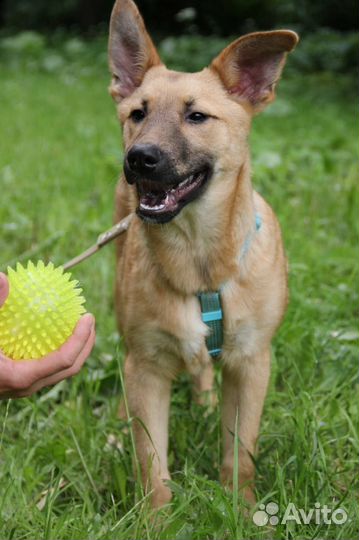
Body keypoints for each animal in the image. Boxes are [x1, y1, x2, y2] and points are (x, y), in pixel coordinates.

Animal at [108, 0, 300, 508]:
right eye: (138, 112)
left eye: (197, 117)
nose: (139, 158)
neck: (199, 262)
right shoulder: (146, 367)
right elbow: (151, 465)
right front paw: (155, 519)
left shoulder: (252, 363)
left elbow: (241, 451)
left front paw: (241, 508)